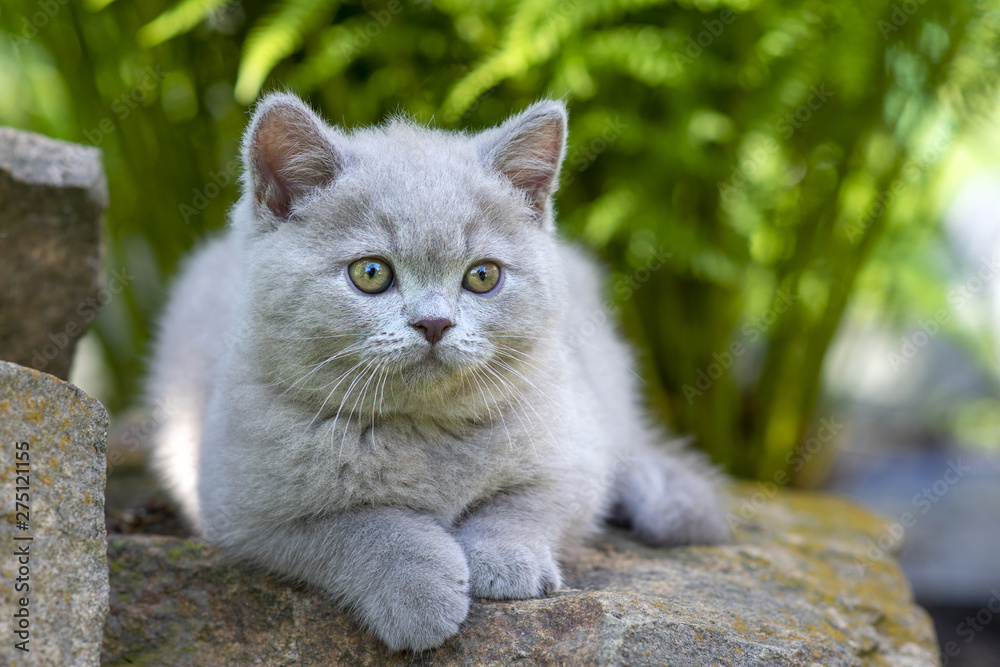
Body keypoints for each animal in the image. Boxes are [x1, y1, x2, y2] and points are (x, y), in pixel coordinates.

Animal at [146, 94, 728, 652]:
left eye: (483, 275)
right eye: (371, 273)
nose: (434, 322)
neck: (425, 431)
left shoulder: (571, 449)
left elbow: (527, 502)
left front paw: (506, 561)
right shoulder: (245, 509)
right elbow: (359, 525)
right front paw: (418, 593)